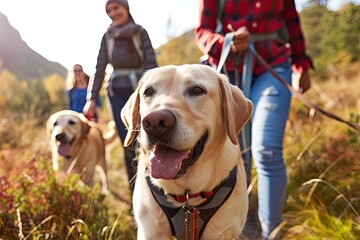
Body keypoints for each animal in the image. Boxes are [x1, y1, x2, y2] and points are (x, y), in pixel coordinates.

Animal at [121, 64, 253, 240]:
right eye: (148, 92)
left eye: (197, 90)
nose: (155, 122)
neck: (187, 197)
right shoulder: (151, 230)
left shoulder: (221, 232)